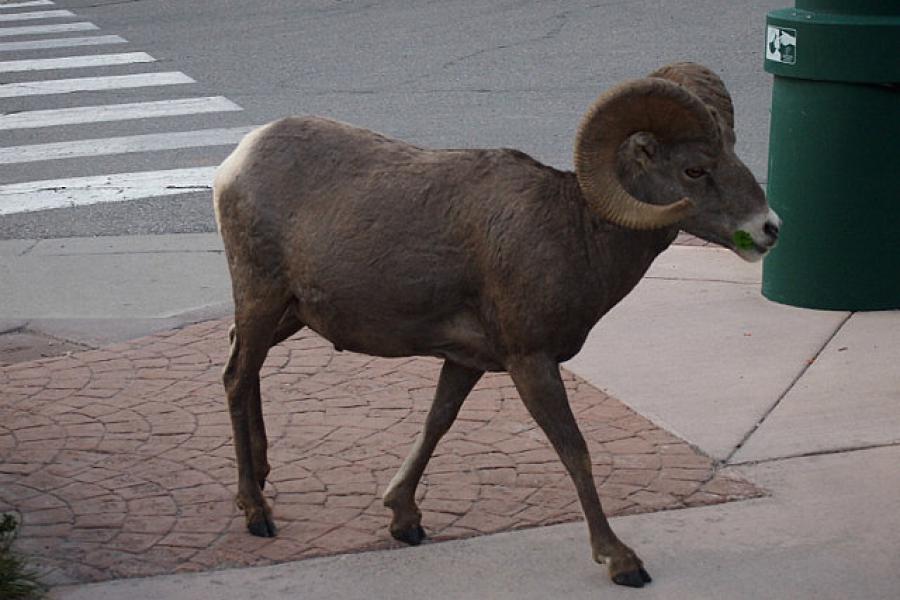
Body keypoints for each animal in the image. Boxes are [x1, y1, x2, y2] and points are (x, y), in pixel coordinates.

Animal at [213, 63, 780, 588]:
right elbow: (574, 450)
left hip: (288, 314)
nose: (768, 228)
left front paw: (405, 519)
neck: (575, 232)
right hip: (262, 298)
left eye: (733, 152)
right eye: (694, 170)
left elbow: (437, 423)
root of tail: (238, 160)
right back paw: (256, 511)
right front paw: (621, 561)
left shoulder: (465, 362)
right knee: (237, 378)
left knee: (244, 363)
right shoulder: (532, 363)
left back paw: (262, 477)